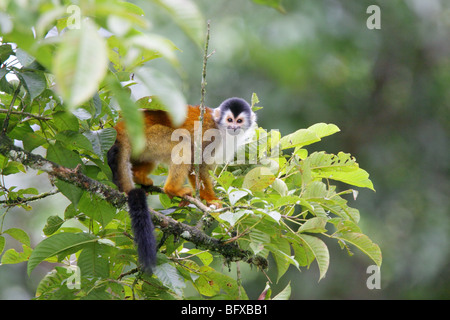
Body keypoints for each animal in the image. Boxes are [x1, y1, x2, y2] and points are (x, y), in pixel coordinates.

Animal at [107, 96, 256, 272]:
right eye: (229, 120)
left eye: (239, 121)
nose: (233, 127)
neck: (221, 128)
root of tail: (121, 126)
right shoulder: (209, 133)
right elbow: (196, 163)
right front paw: (210, 199)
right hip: (148, 137)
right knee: (183, 141)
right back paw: (172, 189)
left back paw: (139, 177)